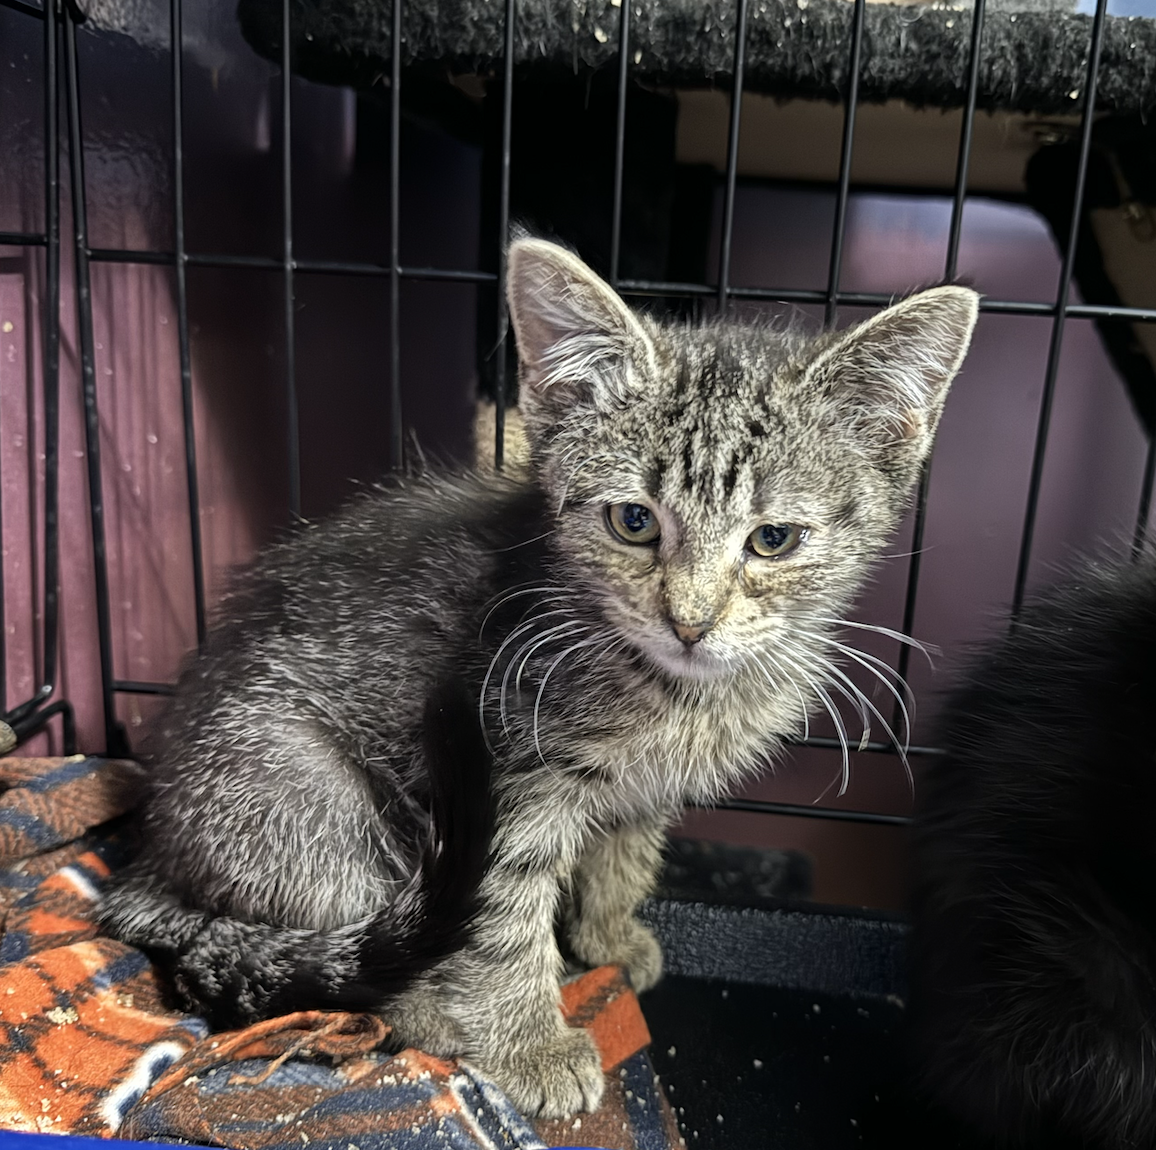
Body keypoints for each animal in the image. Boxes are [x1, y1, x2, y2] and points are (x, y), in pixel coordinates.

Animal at [104, 240, 980, 1114]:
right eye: (634, 521)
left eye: (774, 539)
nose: (690, 622)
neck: (678, 693)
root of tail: (149, 861)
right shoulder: (506, 778)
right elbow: (503, 918)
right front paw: (528, 1042)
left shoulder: (644, 790)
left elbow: (624, 855)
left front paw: (609, 935)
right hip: (311, 804)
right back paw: (423, 1011)